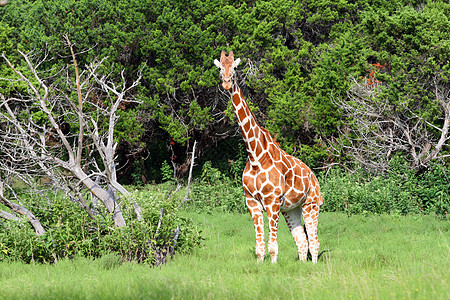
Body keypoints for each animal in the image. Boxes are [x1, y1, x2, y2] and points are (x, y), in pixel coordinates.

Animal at [214, 51, 324, 262]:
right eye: (220, 67)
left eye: (234, 67)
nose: (226, 83)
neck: (255, 155)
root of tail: (314, 177)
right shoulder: (252, 202)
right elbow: (260, 248)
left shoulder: (272, 201)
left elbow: (273, 247)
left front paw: (272, 266)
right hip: (291, 209)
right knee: (302, 242)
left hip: (311, 204)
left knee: (314, 242)